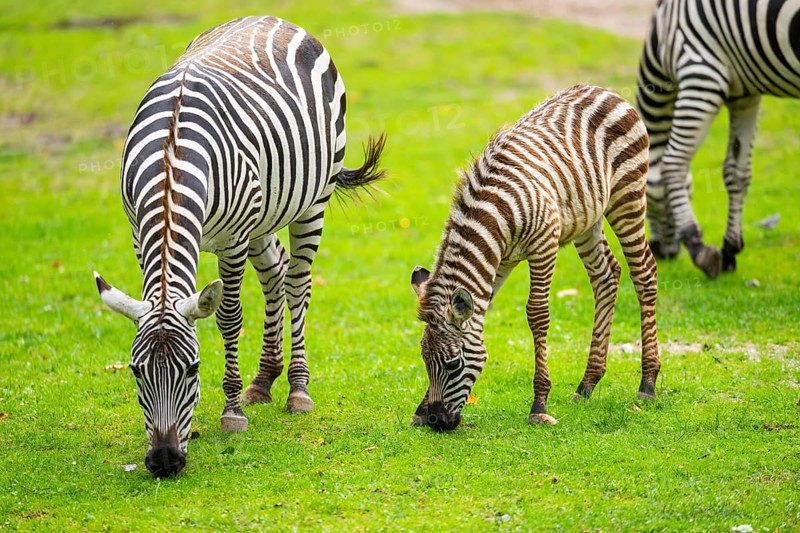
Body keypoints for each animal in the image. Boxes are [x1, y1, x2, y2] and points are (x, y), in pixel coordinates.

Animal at [93, 16, 386, 477]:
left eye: (193, 370)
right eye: (136, 372)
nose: (164, 461)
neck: (171, 161)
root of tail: (274, 19)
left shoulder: (232, 242)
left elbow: (229, 319)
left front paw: (231, 412)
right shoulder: (141, 237)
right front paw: (245, 395)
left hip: (311, 202)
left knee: (298, 284)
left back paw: (297, 388)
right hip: (263, 214)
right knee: (275, 273)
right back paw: (264, 380)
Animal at [410, 85, 660, 431]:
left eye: (452, 364)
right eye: (424, 360)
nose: (436, 420)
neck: (495, 215)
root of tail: (604, 89)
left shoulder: (544, 245)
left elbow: (537, 315)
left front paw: (539, 404)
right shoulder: (498, 261)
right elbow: (481, 312)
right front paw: (421, 408)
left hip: (628, 197)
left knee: (644, 273)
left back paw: (647, 383)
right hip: (587, 219)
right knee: (607, 276)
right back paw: (587, 383)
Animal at [636, 0, 800, 278]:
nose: (662, 252)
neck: (664, 31)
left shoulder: (700, 72)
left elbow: (673, 162)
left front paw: (697, 245)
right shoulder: (745, 95)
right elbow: (737, 172)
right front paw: (730, 249)